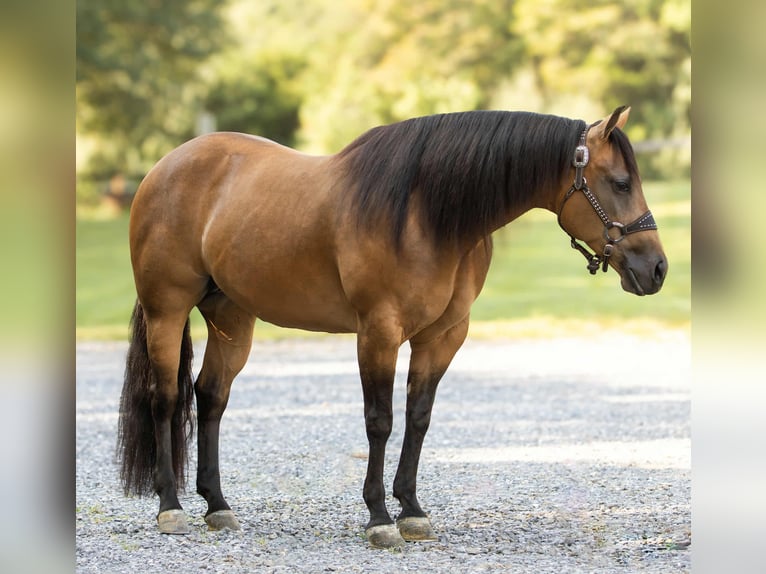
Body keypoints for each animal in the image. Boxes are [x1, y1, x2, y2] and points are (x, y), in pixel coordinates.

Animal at [117, 106, 666, 549]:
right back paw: (171, 508)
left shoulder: (442, 337)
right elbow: (379, 420)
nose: (657, 269)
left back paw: (218, 505)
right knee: (166, 399)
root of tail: (164, 167)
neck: (426, 213)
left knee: (210, 396)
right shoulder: (378, 331)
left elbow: (418, 417)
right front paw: (380, 517)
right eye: (620, 182)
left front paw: (413, 511)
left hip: (232, 317)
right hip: (167, 310)